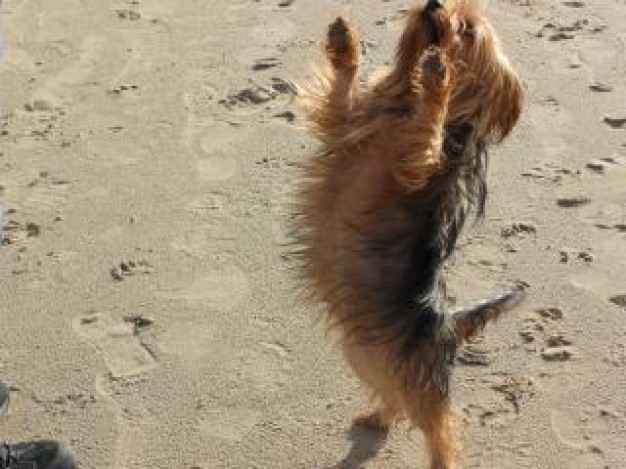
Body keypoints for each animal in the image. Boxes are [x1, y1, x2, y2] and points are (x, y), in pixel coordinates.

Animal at [294, 0, 524, 468]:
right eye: (450, 9)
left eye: (465, 30)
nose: (434, 4)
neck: (401, 103)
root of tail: (449, 323)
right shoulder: (347, 120)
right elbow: (342, 91)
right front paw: (345, 42)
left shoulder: (417, 164)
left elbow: (429, 128)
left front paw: (438, 79)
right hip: (366, 355)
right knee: (393, 394)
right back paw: (378, 417)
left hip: (419, 378)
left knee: (442, 425)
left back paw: (442, 458)